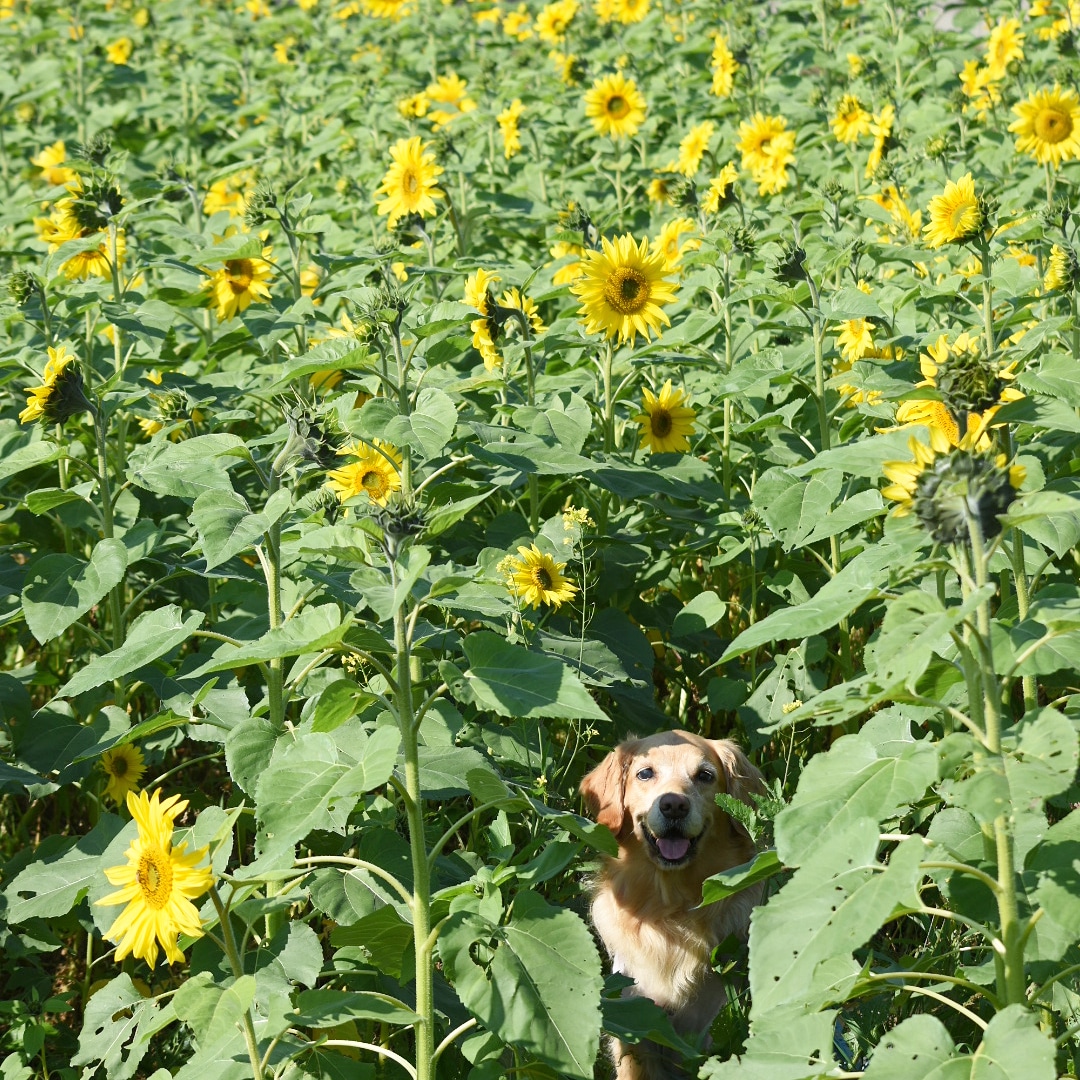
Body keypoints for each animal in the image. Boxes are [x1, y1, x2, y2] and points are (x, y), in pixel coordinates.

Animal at [578, 730, 764, 1075]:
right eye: (645, 773)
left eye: (705, 776)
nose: (674, 805)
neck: (669, 911)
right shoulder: (634, 1025)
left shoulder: (704, 1029)